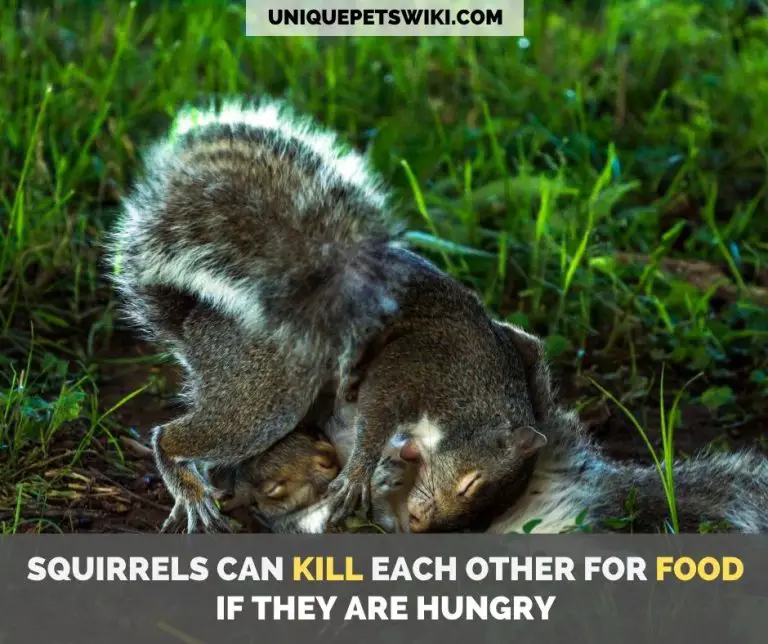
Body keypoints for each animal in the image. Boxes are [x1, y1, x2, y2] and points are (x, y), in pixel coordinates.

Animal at [106, 99, 544, 533]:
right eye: (471, 482)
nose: (421, 523)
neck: (480, 392)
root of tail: (193, 322)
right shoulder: (418, 364)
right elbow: (377, 410)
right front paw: (357, 477)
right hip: (267, 387)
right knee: (172, 436)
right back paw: (189, 490)